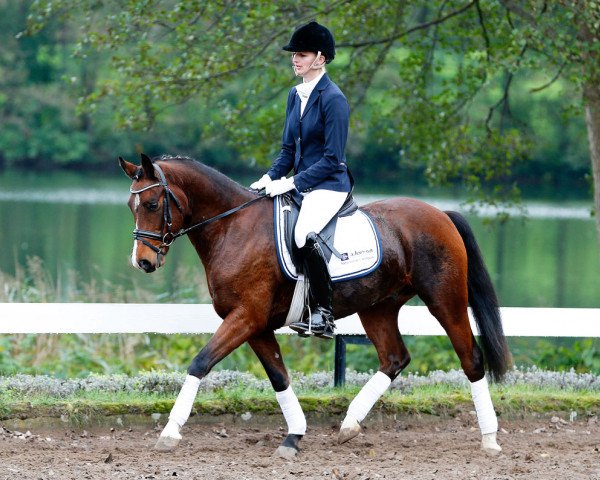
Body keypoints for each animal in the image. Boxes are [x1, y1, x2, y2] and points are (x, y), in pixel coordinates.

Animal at [120, 153, 510, 458]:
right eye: (130, 207)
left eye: (152, 205)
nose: (142, 262)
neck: (232, 227)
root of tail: (440, 214)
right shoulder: (256, 325)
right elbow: (279, 376)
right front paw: (294, 436)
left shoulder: (246, 317)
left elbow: (200, 362)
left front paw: (170, 431)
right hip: (378, 307)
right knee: (394, 358)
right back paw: (350, 424)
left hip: (445, 301)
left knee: (471, 359)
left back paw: (490, 439)